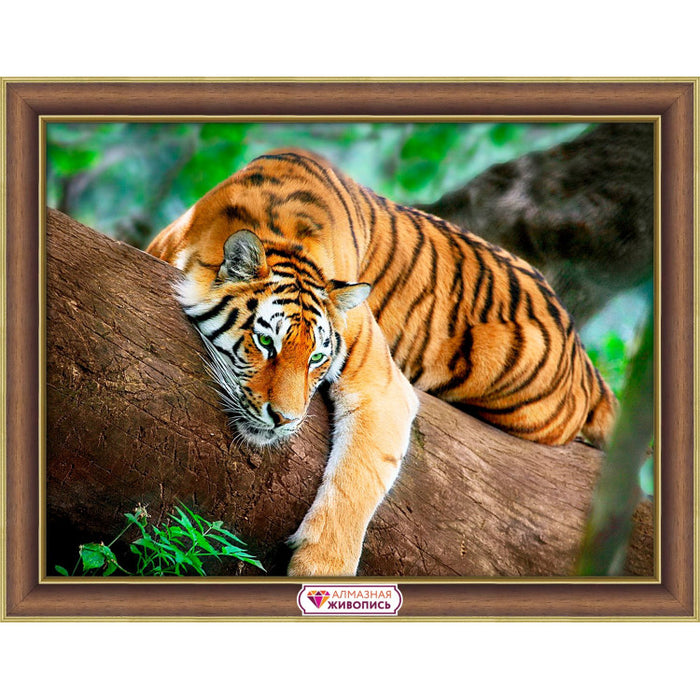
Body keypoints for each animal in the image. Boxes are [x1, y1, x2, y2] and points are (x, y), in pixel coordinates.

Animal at [146, 148, 617, 577]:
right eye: (265, 342)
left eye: (317, 357)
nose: (285, 420)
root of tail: (581, 352)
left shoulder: (382, 386)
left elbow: (356, 481)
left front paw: (321, 571)